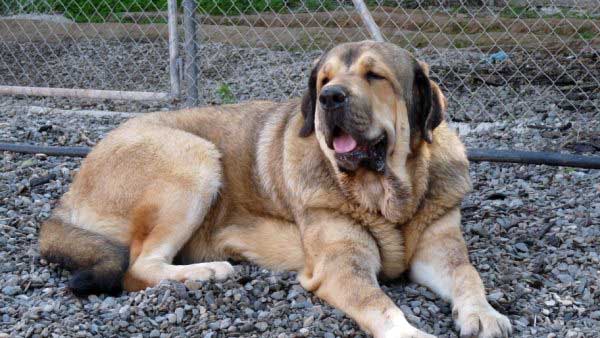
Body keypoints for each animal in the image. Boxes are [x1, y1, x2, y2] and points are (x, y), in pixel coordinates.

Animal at [39, 41, 510, 336]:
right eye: (323, 80)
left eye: (375, 76)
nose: (331, 97)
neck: (387, 194)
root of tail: (68, 196)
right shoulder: (342, 266)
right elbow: (382, 306)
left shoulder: (440, 251)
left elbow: (468, 276)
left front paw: (484, 314)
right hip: (194, 160)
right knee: (139, 267)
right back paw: (208, 271)